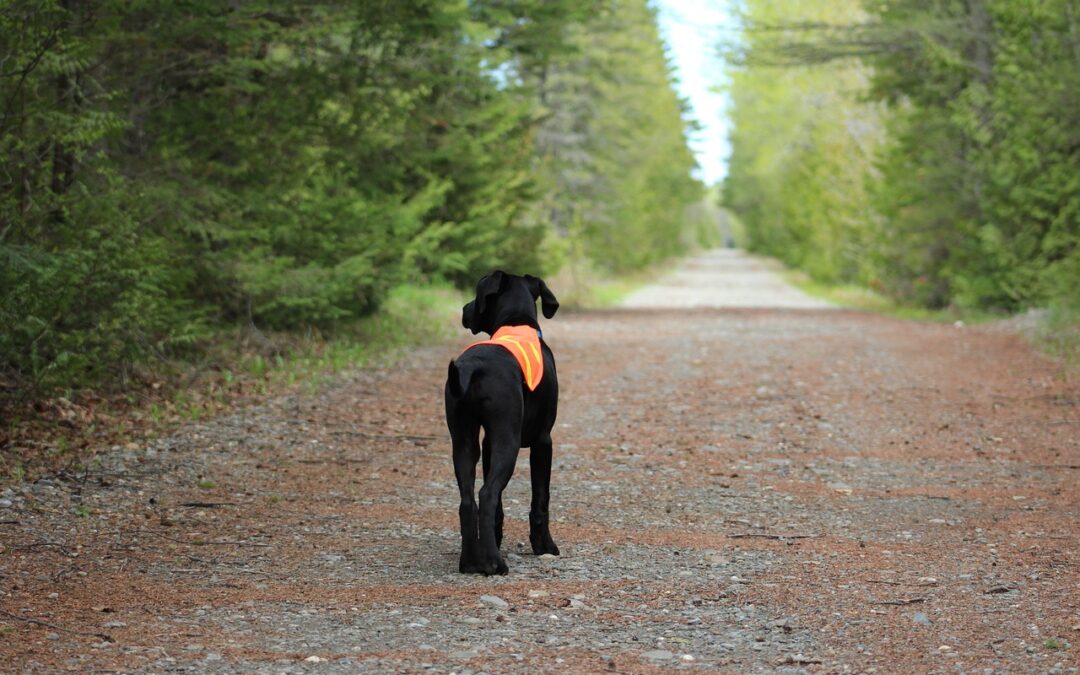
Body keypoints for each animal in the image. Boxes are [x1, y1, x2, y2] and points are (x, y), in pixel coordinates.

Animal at [447, 271, 565, 574]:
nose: (463, 309)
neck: (516, 321)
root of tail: (473, 366)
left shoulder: (488, 443)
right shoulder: (543, 441)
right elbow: (540, 498)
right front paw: (545, 546)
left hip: (463, 441)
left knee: (468, 501)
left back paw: (470, 561)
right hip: (508, 443)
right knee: (487, 494)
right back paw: (493, 562)